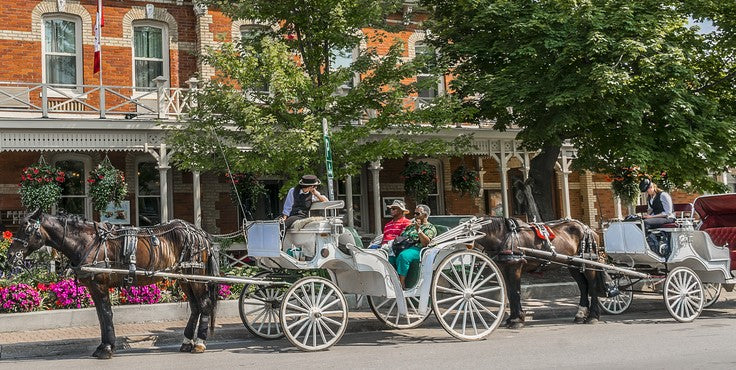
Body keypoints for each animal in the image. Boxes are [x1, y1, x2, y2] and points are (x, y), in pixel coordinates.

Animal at [6, 210, 218, 360]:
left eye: (27, 229)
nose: (10, 255)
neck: (88, 241)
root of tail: (199, 232)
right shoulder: (93, 287)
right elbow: (101, 316)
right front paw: (104, 345)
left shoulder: (99, 285)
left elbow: (106, 314)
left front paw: (106, 349)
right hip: (185, 278)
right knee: (195, 307)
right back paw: (187, 342)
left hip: (196, 275)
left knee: (204, 305)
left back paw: (200, 343)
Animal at [474, 217, 608, 326]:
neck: (504, 236)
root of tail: (588, 228)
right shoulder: (504, 269)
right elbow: (510, 293)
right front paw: (512, 318)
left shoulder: (515, 267)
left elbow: (515, 292)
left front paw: (517, 320)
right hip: (573, 264)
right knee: (583, 286)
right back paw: (580, 314)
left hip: (589, 262)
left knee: (592, 285)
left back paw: (593, 316)